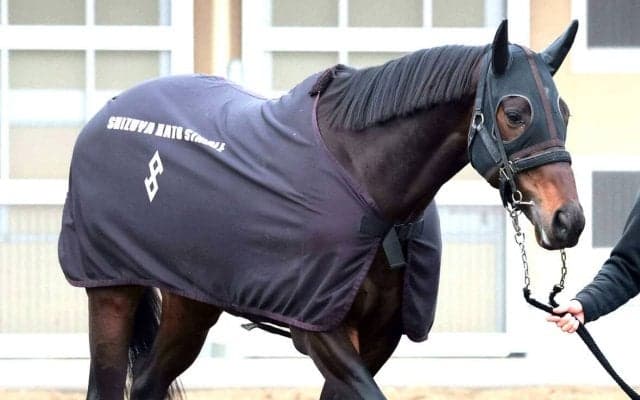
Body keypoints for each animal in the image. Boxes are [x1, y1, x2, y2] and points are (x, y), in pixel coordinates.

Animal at [58, 20, 585, 399]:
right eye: (514, 113)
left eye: (565, 112)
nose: (569, 221)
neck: (367, 185)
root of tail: (107, 110)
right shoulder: (321, 331)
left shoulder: (378, 337)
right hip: (111, 294)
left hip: (193, 302)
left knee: (149, 382)